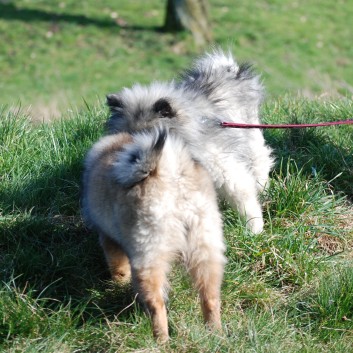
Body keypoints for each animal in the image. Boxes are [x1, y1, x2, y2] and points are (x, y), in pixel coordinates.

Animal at [82, 127, 226, 340]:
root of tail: (170, 171)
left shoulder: (108, 240)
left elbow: (118, 268)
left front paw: (118, 285)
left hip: (148, 255)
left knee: (157, 304)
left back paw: (161, 339)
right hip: (205, 248)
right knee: (210, 297)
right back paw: (215, 333)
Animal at [104, 47, 272, 234]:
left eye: (150, 136)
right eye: (126, 137)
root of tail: (228, 69)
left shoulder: (224, 168)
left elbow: (244, 197)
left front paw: (254, 228)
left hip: (250, 134)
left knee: (260, 160)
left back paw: (262, 187)